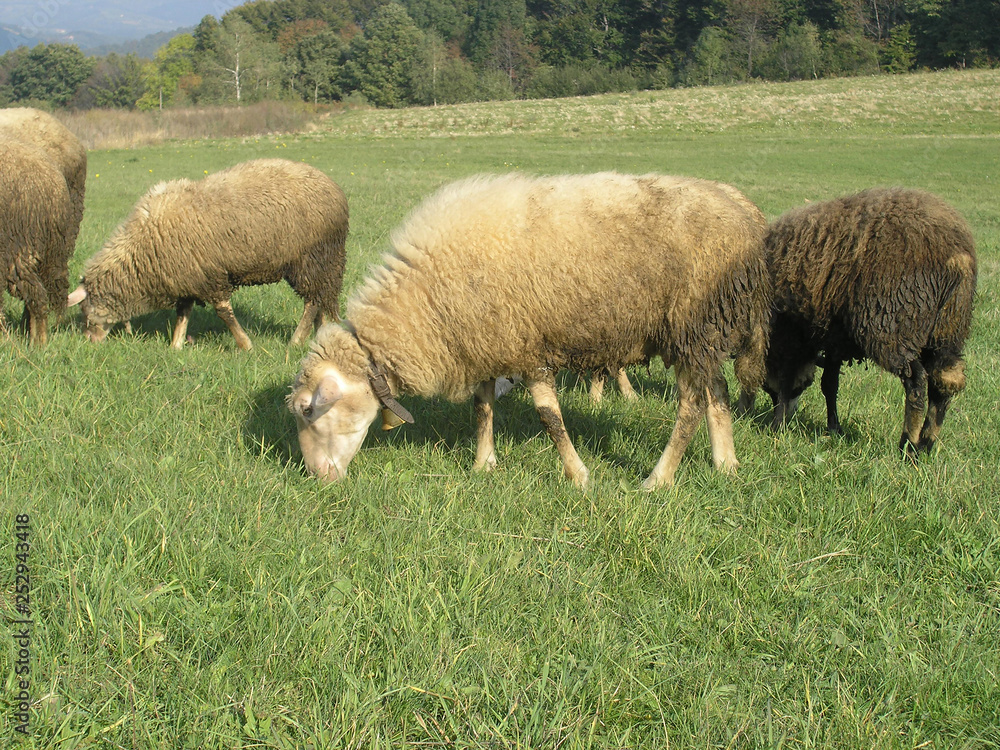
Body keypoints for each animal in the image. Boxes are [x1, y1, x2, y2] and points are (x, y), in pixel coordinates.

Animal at [66, 159, 348, 352]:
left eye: (85, 312)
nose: (88, 343)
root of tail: (334, 188)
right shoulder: (187, 278)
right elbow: (183, 313)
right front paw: (176, 345)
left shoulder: (209, 277)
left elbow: (224, 313)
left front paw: (245, 344)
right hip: (321, 262)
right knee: (321, 299)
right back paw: (320, 334)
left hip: (312, 258)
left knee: (312, 301)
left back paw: (296, 340)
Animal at [290, 173, 772, 490]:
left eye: (307, 410)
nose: (315, 479)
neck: (422, 306)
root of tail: (746, 214)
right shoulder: (487, 340)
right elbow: (482, 406)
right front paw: (483, 464)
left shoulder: (527, 345)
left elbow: (549, 417)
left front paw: (578, 476)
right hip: (708, 331)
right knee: (718, 392)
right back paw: (726, 464)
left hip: (694, 323)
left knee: (690, 406)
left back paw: (659, 479)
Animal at [736, 188, 976, 458]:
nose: (786, 412)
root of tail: (957, 255)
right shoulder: (833, 338)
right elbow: (829, 384)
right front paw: (833, 428)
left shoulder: (791, 335)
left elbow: (788, 379)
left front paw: (777, 425)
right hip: (948, 329)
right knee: (945, 379)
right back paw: (926, 443)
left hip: (892, 325)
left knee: (916, 382)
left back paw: (908, 444)